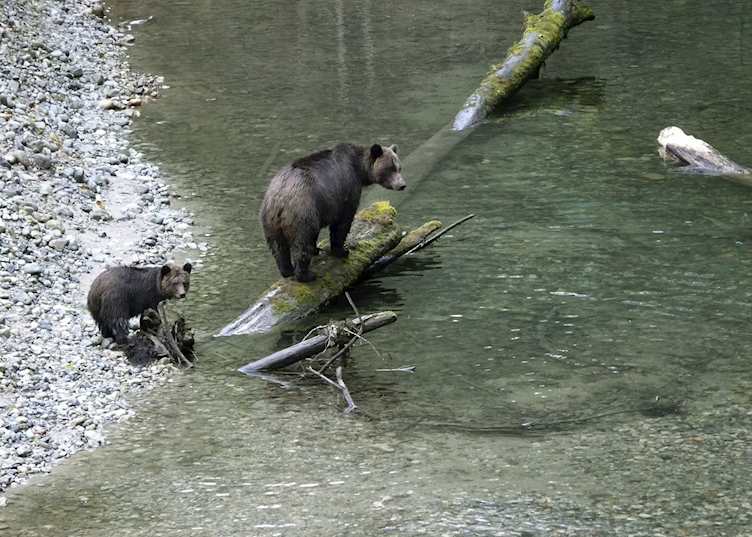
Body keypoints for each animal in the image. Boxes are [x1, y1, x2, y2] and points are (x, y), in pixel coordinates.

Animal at [260, 143, 406, 282]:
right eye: (390, 168)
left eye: (399, 167)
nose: (402, 185)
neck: (359, 170)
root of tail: (280, 199)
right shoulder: (346, 190)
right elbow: (343, 222)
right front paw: (342, 250)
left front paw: (317, 249)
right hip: (302, 212)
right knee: (302, 243)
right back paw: (306, 275)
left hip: (270, 221)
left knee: (278, 247)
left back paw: (287, 270)